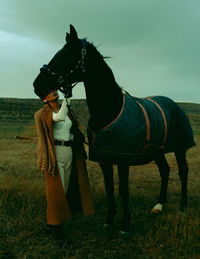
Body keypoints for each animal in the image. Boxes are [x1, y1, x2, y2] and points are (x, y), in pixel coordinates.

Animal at [33, 24, 195, 236]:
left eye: (66, 55)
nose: (37, 85)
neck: (110, 109)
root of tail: (174, 104)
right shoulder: (105, 158)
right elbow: (110, 188)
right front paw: (109, 220)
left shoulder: (123, 159)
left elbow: (123, 191)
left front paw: (125, 225)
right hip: (157, 151)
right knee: (165, 170)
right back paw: (159, 205)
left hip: (180, 148)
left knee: (183, 172)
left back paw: (183, 206)